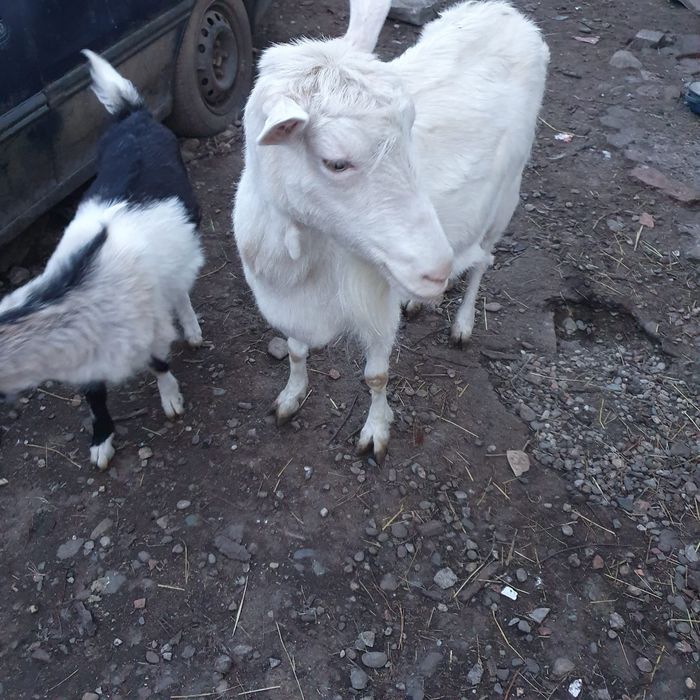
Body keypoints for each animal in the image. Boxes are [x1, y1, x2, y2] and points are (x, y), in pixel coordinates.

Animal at [0, 50, 204, 469]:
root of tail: (134, 116)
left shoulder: (149, 328)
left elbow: (158, 362)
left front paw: (171, 399)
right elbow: (94, 394)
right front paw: (101, 440)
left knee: (181, 282)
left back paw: (192, 329)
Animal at [232, 0, 549, 462]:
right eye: (336, 162)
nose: (437, 268)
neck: (310, 256)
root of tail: (506, 12)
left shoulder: (376, 307)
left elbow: (376, 377)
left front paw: (375, 431)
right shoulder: (287, 304)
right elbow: (293, 351)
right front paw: (290, 397)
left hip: (506, 197)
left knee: (482, 263)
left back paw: (463, 323)